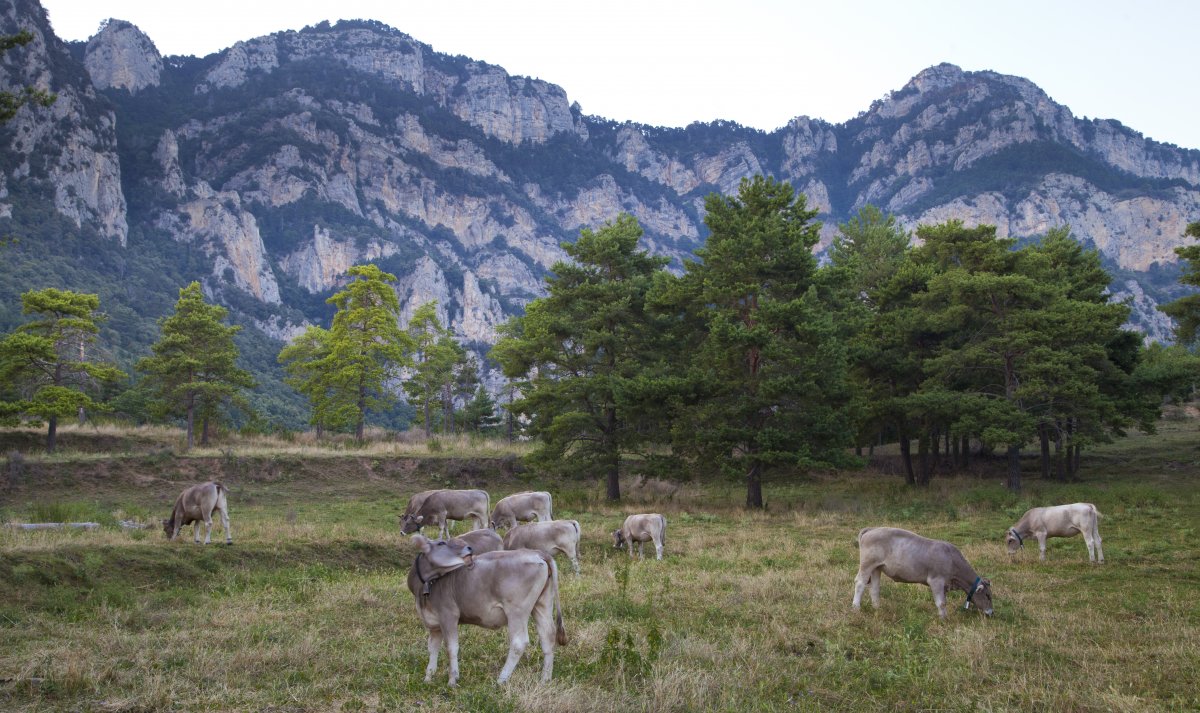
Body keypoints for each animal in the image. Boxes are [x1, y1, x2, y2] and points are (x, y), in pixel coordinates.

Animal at [408, 534, 567, 686]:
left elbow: (451, 648)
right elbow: (432, 648)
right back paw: (545, 679)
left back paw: (501, 680)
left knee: (519, 642)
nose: (469, 548)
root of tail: (537, 553)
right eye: (441, 543)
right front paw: (428, 678)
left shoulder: (448, 615)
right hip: (542, 603)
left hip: (517, 610)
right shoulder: (434, 625)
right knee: (547, 635)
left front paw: (452, 680)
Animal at [852, 526, 993, 619]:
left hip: (877, 567)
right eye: (987, 595)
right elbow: (941, 603)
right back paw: (856, 607)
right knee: (860, 583)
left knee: (874, 587)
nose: (991, 612)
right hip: (867, 564)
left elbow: (944, 602)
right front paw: (943, 619)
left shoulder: (944, 585)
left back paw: (877, 607)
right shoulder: (936, 580)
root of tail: (872, 529)